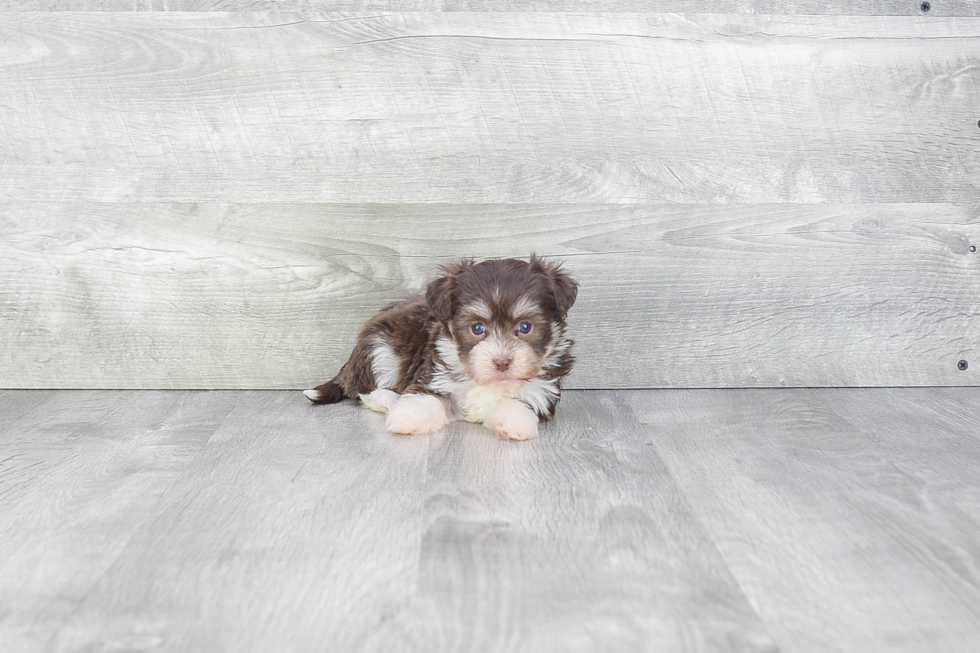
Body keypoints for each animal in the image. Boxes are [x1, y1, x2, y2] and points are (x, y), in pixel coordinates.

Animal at [304, 253, 576, 438]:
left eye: (525, 327)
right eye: (477, 328)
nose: (501, 362)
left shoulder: (544, 390)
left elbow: (521, 400)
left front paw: (515, 422)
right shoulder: (434, 375)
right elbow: (427, 398)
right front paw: (408, 417)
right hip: (380, 348)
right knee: (363, 390)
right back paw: (388, 400)